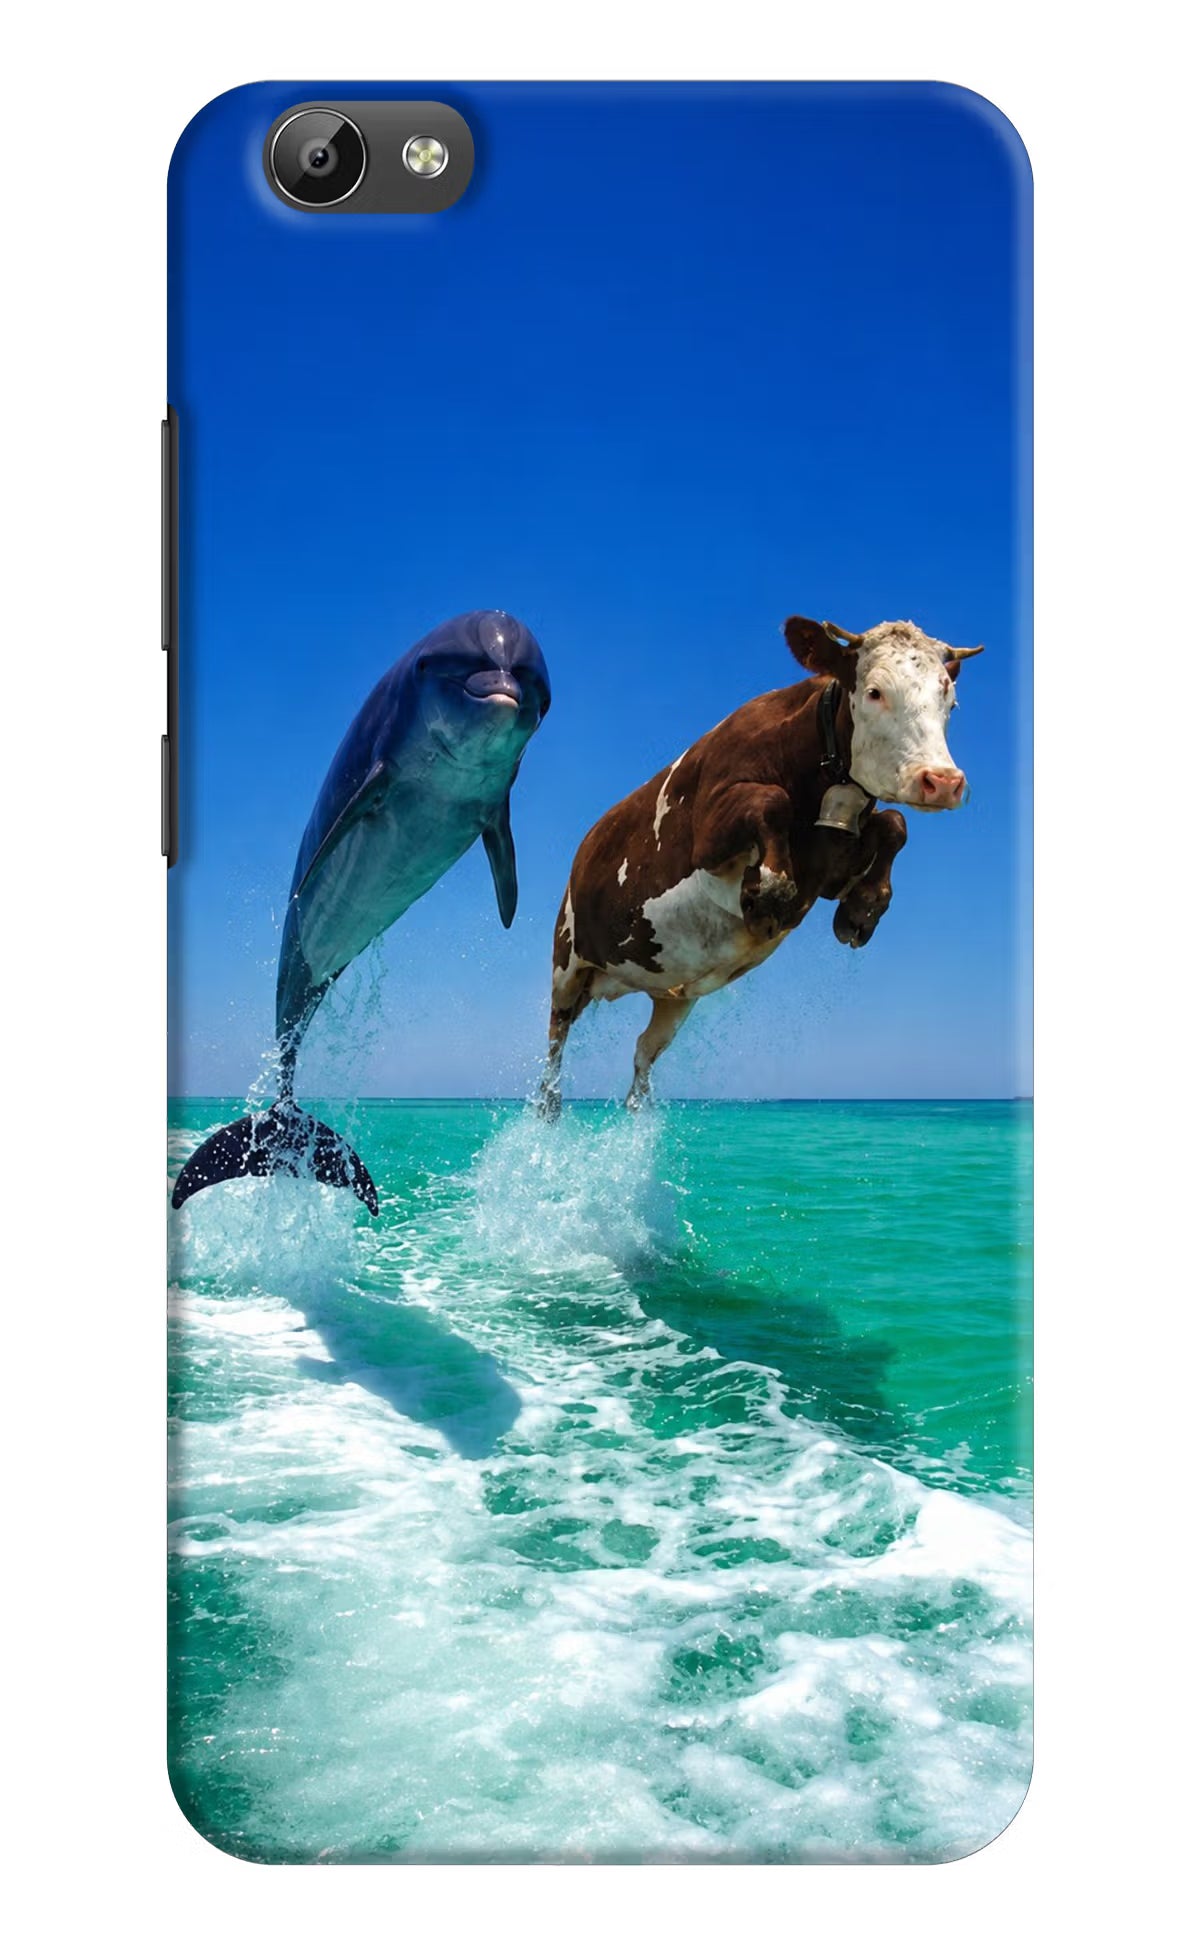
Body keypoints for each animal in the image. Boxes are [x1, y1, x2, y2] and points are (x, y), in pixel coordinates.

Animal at [537, 615, 983, 1116]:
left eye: (950, 699)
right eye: (874, 691)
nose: (942, 782)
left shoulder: (830, 867)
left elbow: (894, 823)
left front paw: (862, 909)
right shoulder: (709, 834)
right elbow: (771, 801)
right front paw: (768, 893)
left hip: (673, 995)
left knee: (643, 1053)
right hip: (566, 962)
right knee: (554, 1043)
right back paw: (549, 1105)